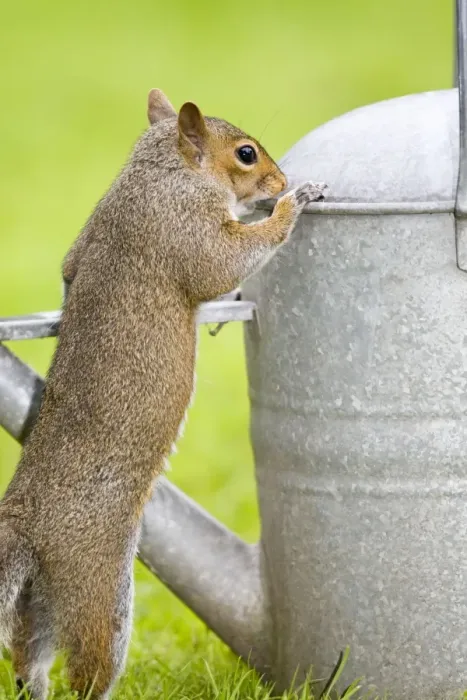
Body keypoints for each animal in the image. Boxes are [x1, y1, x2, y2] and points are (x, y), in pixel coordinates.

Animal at [0, 89, 327, 699]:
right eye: (246, 154)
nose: (280, 179)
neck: (159, 173)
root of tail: (25, 523)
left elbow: (69, 269)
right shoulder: (184, 227)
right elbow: (223, 265)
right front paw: (292, 204)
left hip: (43, 598)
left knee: (29, 657)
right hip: (95, 587)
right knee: (89, 666)